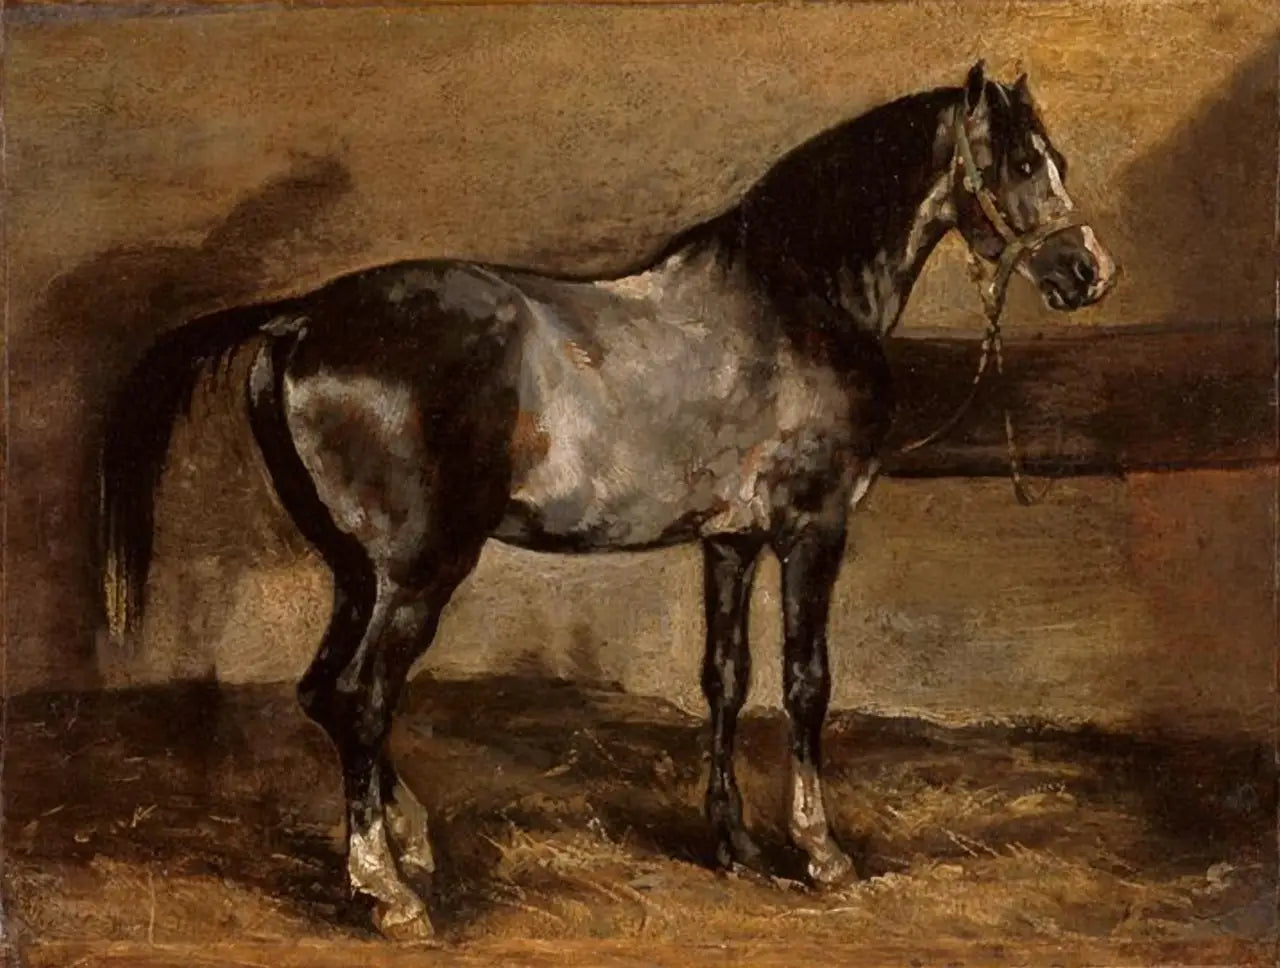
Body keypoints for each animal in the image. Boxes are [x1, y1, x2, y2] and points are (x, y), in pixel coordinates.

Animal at [97, 61, 1117, 938]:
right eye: (1022, 163)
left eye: (1057, 161)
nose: (1088, 272)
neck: (797, 299)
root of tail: (300, 317)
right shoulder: (811, 530)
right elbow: (806, 683)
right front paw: (821, 852)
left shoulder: (729, 542)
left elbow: (725, 678)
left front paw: (734, 842)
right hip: (420, 572)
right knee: (360, 698)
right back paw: (388, 890)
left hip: (360, 572)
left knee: (323, 692)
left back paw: (410, 844)